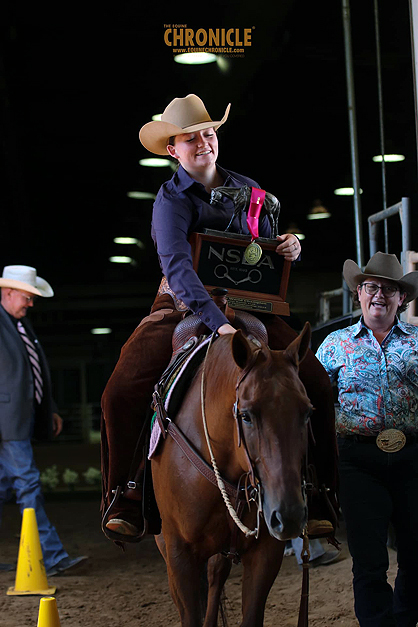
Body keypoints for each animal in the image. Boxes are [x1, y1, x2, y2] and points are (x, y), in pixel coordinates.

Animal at [152, 324, 312, 627]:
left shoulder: (265, 554)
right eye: (246, 415)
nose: (289, 516)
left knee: (216, 574)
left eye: (307, 412)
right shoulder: (179, 554)